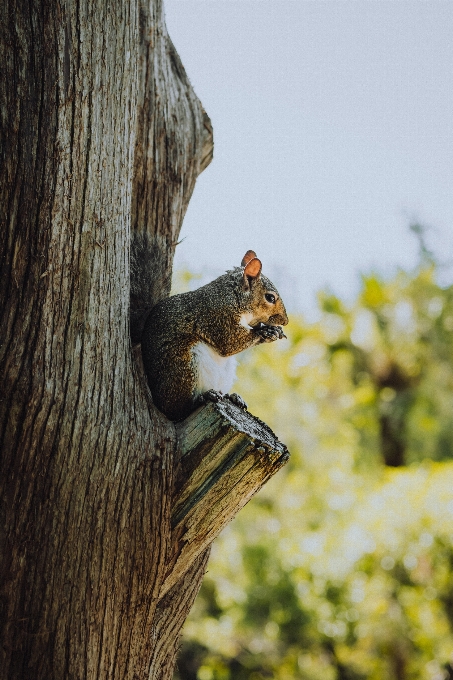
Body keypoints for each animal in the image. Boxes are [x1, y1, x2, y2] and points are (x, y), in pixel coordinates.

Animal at [141, 250, 288, 420]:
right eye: (270, 298)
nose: (285, 321)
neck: (232, 296)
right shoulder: (217, 317)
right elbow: (229, 342)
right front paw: (267, 331)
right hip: (183, 367)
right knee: (177, 410)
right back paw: (201, 398)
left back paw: (233, 397)